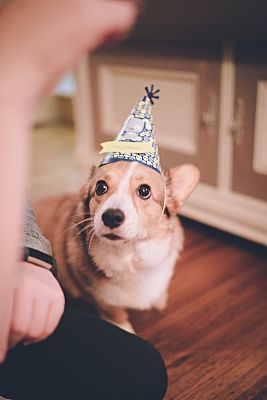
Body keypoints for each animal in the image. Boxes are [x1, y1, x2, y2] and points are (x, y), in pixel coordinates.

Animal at [34, 161, 200, 332]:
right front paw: (126, 328)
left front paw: (160, 300)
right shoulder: (103, 300)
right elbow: (117, 315)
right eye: (101, 187)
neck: (130, 253)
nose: (111, 217)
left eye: (144, 190)